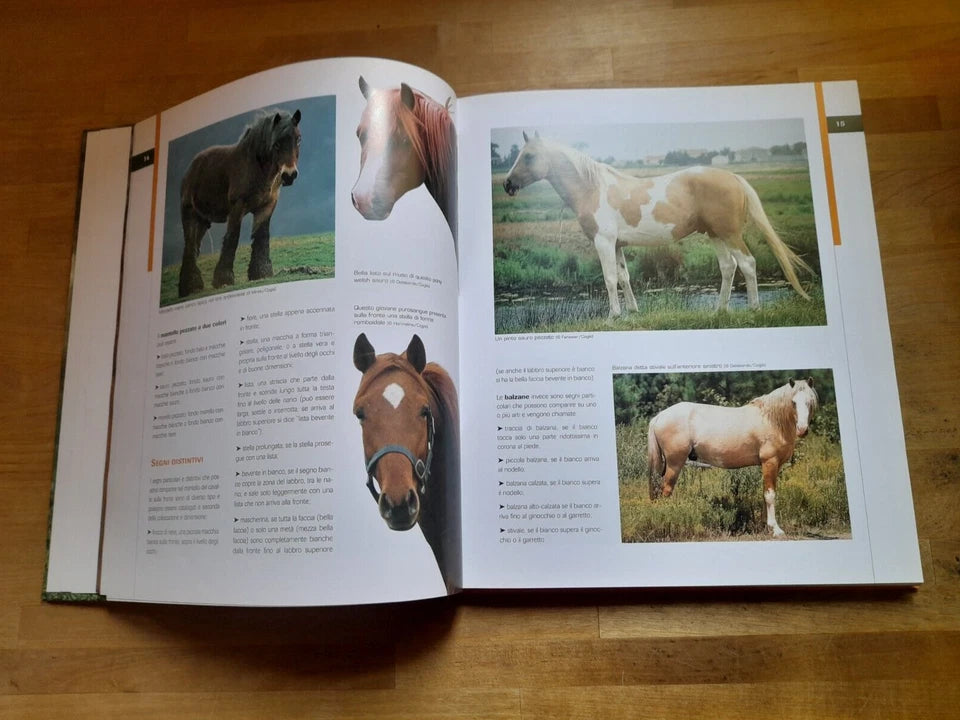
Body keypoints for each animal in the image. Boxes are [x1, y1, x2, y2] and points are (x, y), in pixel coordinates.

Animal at [178, 108, 302, 298]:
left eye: (298, 139)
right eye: (277, 144)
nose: (289, 175)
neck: (256, 167)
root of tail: (191, 168)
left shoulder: (267, 206)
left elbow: (261, 236)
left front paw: (261, 273)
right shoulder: (237, 207)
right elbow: (232, 238)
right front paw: (223, 279)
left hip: (203, 221)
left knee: (194, 248)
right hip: (189, 214)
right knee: (189, 247)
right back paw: (190, 287)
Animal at [502, 132, 812, 318]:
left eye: (528, 155)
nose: (507, 184)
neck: (592, 188)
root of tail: (734, 177)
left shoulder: (603, 242)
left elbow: (609, 278)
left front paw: (612, 317)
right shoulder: (617, 245)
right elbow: (624, 277)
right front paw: (632, 313)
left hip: (730, 234)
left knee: (747, 263)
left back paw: (754, 309)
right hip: (715, 235)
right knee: (728, 267)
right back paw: (718, 311)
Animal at [646, 378, 818, 536]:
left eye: (810, 401)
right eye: (793, 402)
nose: (802, 429)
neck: (772, 420)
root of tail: (660, 416)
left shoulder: (772, 466)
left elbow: (765, 494)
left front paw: (764, 526)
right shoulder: (770, 462)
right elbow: (770, 495)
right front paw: (775, 529)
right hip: (674, 464)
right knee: (666, 491)